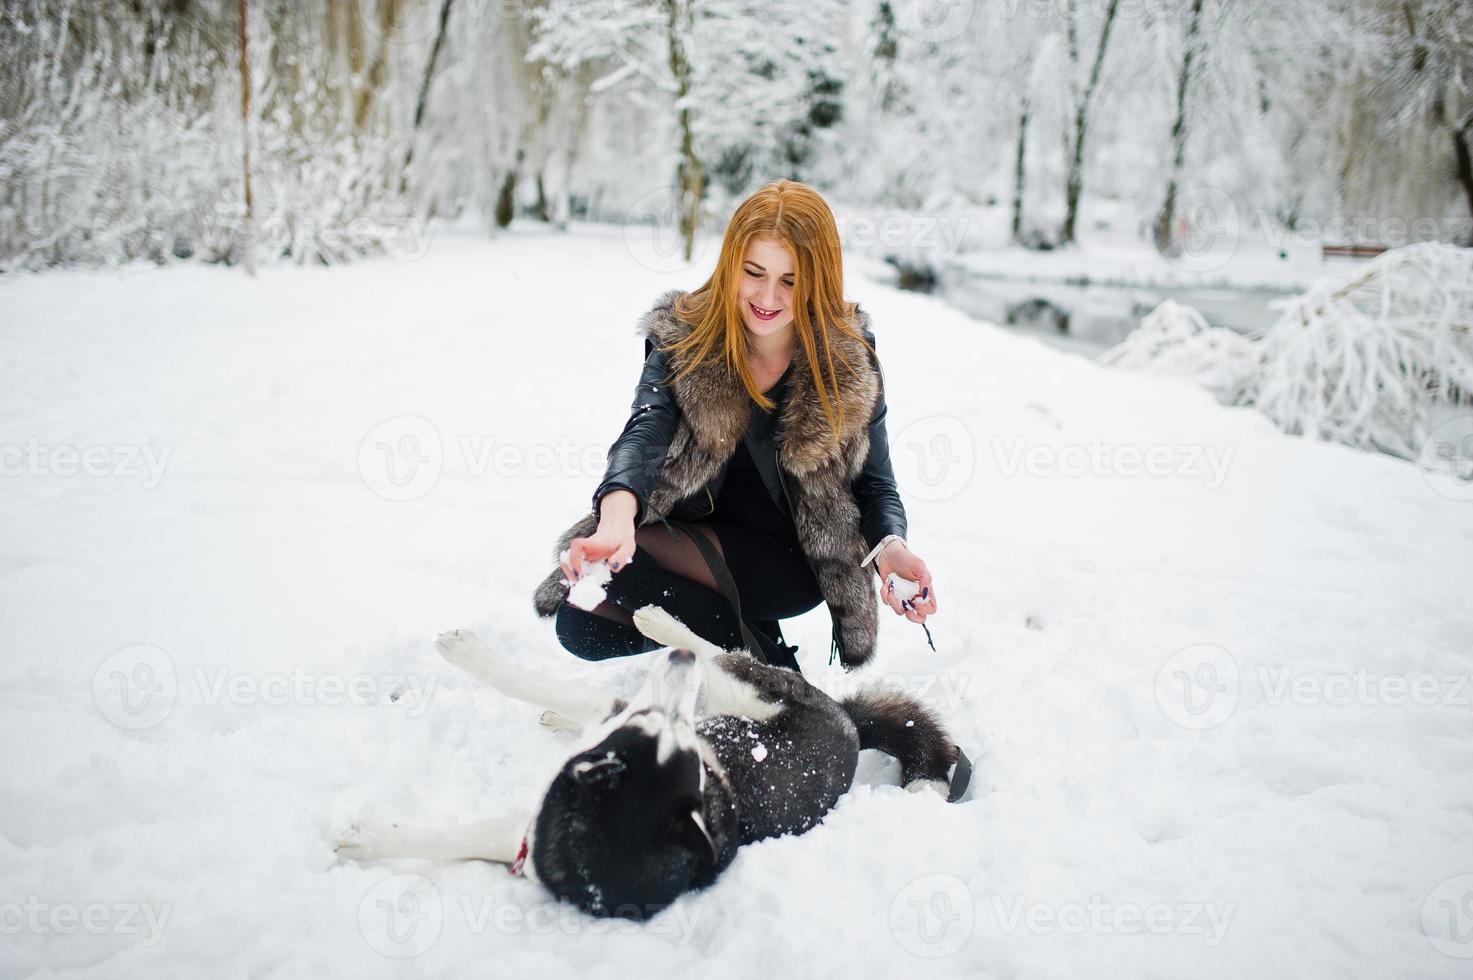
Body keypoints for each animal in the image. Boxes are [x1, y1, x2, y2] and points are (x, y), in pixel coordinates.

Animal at [338, 604, 972, 919]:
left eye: (664, 732)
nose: (676, 671)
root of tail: (848, 723)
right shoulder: (534, 834)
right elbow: (455, 837)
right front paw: (373, 842)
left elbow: (526, 682)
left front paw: (466, 652)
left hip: (743, 684)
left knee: (717, 654)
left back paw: (659, 625)